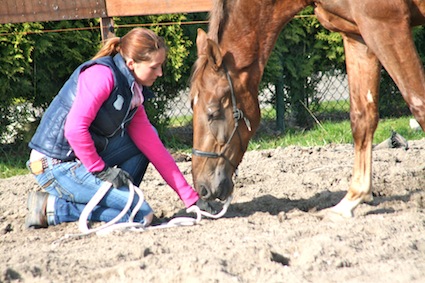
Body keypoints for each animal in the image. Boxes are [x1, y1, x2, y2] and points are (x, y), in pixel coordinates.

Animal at [190, 0, 424, 217]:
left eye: (213, 113)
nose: (202, 188)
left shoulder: (385, 24)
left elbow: (418, 102)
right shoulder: (357, 34)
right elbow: (363, 118)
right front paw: (350, 201)